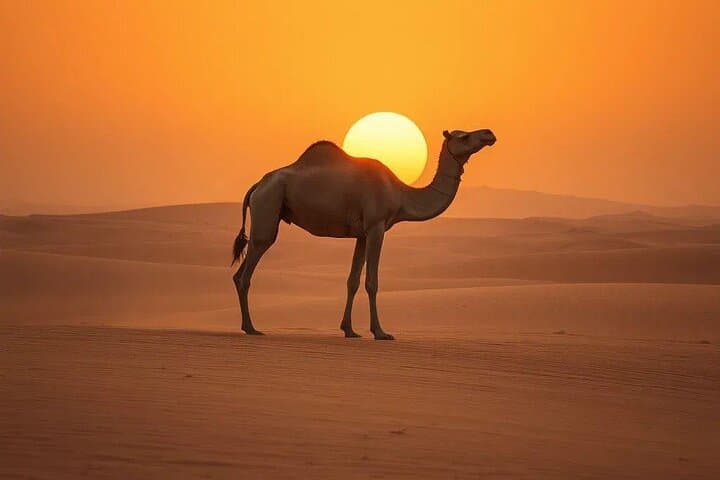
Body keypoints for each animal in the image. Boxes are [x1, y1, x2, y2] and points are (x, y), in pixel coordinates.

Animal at [232, 128, 496, 339]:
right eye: (464, 136)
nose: (489, 134)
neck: (401, 194)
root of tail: (257, 186)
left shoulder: (362, 233)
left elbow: (353, 280)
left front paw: (349, 330)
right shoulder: (377, 226)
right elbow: (372, 281)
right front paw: (380, 332)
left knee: (238, 274)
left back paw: (247, 325)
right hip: (268, 206)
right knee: (248, 268)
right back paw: (251, 328)